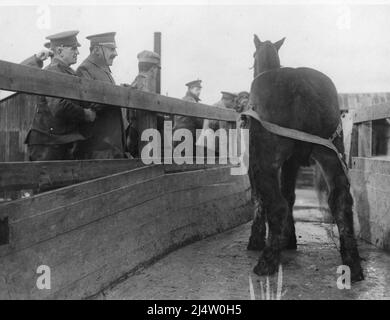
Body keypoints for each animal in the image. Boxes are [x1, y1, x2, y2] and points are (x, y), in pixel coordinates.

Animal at [244, 33, 366, 282]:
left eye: (252, 55)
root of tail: (300, 83)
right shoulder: (291, 163)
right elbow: (290, 194)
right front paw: (288, 239)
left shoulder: (258, 162)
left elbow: (261, 200)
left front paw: (259, 240)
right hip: (331, 153)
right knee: (340, 201)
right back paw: (352, 262)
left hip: (266, 158)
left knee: (277, 204)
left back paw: (267, 261)